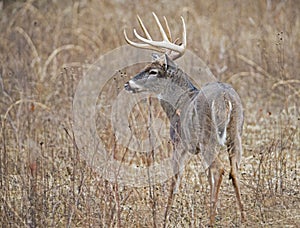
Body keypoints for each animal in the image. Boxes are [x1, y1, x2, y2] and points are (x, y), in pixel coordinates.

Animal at [123, 12, 245, 226]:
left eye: (153, 71)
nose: (127, 83)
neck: (179, 102)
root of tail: (225, 98)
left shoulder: (180, 143)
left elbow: (175, 180)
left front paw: (164, 219)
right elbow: (207, 177)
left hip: (208, 138)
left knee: (220, 169)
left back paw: (211, 221)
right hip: (235, 134)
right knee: (233, 170)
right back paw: (243, 217)